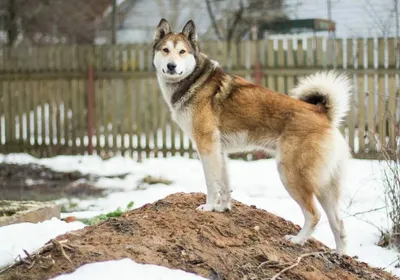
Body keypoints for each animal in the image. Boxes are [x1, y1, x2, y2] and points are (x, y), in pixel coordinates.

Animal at [152, 18, 352, 254]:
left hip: (292, 175)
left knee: (314, 215)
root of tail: (322, 113)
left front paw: (209, 206)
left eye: (182, 51)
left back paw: (297, 240)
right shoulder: (219, 151)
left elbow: (211, 183)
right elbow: (224, 184)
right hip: (325, 186)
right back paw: (340, 254)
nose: (171, 66)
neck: (194, 81)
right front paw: (222, 208)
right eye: (166, 50)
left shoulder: (206, 146)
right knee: (338, 223)